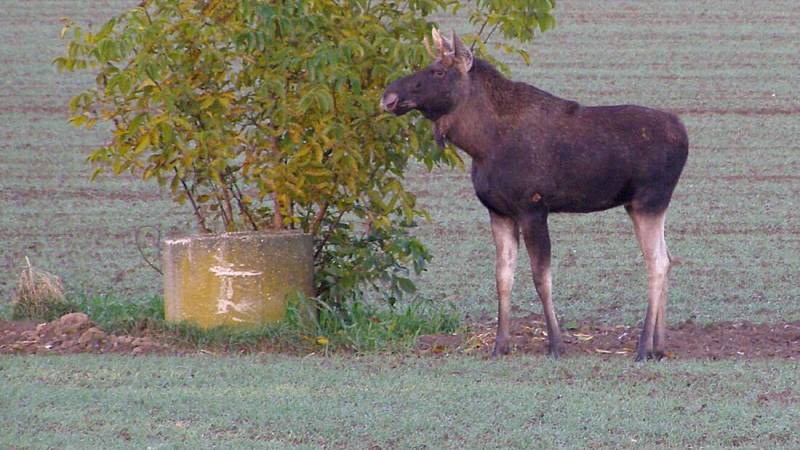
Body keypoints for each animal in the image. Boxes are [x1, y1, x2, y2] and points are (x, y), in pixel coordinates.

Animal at [382, 29, 688, 360]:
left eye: (438, 71)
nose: (388, 96)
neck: (482, 145)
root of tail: (684, 134)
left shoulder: (533, 208)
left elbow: (542, 277)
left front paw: (556, 344)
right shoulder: (499, 211)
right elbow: (503, 276)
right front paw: (499, 346)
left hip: (649, 199)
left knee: (657, 263)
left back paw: (643, 348)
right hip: (641, 205)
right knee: (668, 258)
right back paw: (659, 346)